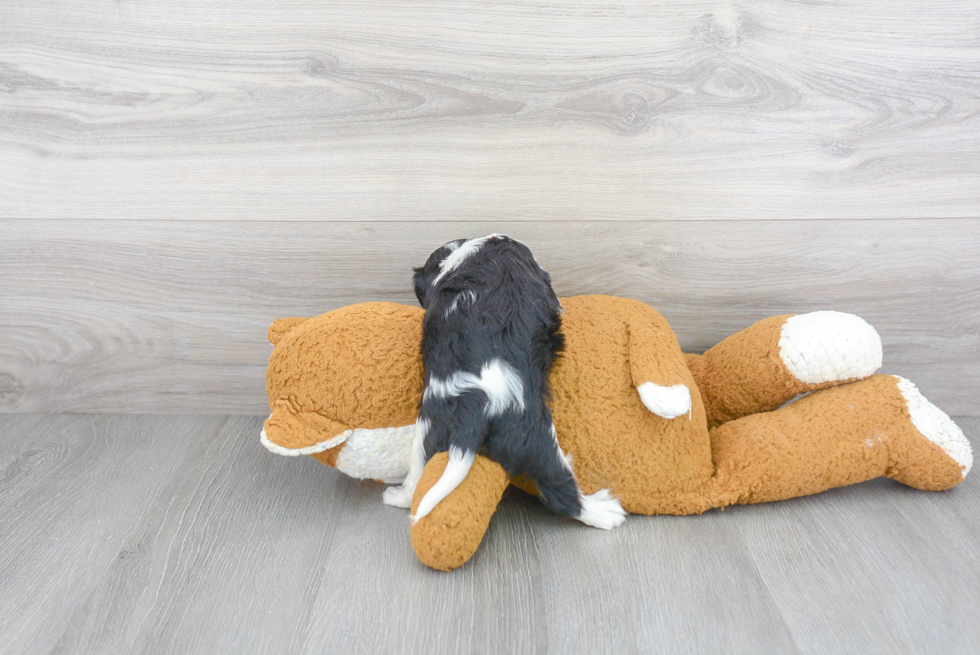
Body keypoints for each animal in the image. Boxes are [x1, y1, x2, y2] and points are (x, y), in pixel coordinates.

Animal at [382, 233, 628, 532]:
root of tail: (474, 406)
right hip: (538, 439)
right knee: (561, 491)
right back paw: (604, 512)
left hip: (428, 431)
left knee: (416, 481)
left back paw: (395, 497)